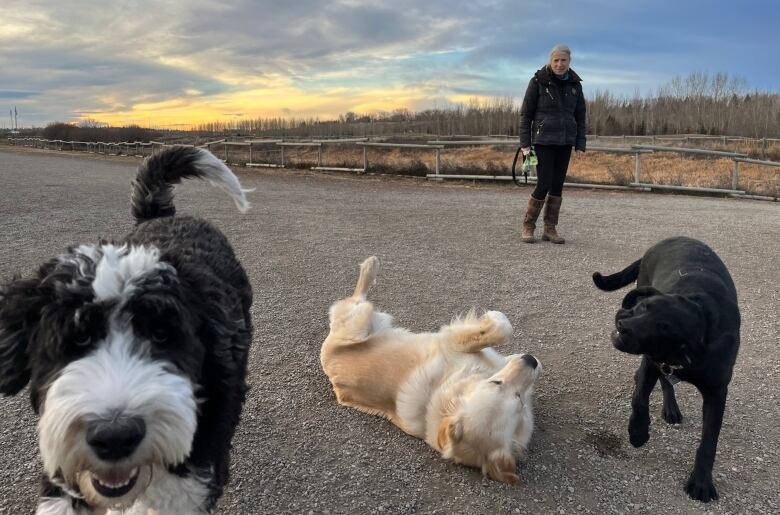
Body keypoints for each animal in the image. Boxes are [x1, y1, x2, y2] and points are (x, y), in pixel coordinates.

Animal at [320, 258, 540, 484]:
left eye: (520, 401)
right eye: (495, 383)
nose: (531, 360)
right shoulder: (452, 341)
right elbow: (502, 330)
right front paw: (495, 318)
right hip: (358, 324)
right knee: (357, 298)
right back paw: (371, 265)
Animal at [596, 238, 740, 504]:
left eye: (661, 329)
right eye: (643, 307)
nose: (623, 323)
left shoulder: (717, 391)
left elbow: (709, 441)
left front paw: (702, 483)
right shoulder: (651, 362)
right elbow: (639, 399)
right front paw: (638, 432)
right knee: (662, 382)